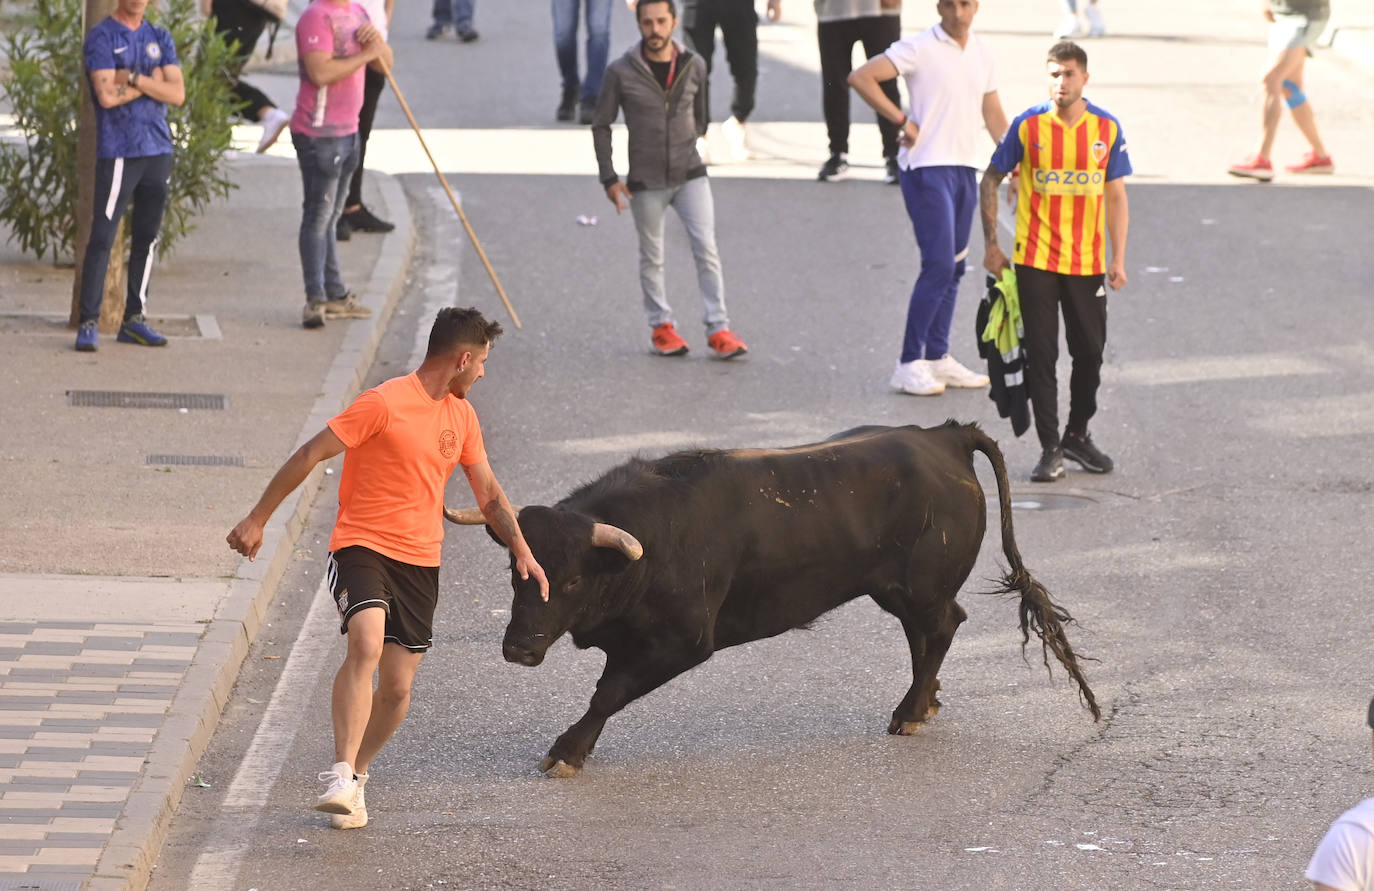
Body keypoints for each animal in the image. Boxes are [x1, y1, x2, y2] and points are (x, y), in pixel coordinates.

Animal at [445, 420, 1099, 775]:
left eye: (573, 581)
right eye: (514, 573)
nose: (519, 649)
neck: (651, 540)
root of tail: (944, 438)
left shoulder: (683, 642)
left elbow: (608, 693)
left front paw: (567, 752)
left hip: (919, 584)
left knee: (940, 627)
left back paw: (910, 712)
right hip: (900, 589)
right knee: (927, 633)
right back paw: (925, 700)